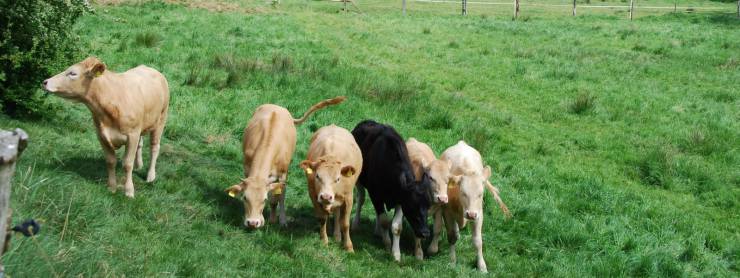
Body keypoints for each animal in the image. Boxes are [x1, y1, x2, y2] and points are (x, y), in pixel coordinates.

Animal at [43, 56, 171, 198]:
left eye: (72, 73)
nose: (45, 82)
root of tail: (151, 69)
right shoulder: (101, 135)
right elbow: (110, 161)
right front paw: (112, 187)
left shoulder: (132, 135)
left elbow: (127, 163)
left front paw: (129, 191)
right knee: (141, 143)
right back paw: (139, 165)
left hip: (161, 119)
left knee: (154, 147)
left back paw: (150, 176)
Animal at [224, 96, 346, 229]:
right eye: (245, 198)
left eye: (264, 200)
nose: (252, 223)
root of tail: (278, 107)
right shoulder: (247, 170)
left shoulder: (282, 174)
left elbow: (277, 197)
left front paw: (275, 220)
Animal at [298, 125, 362, 253]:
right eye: (317, 176)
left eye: (338, 179)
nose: (326, 197)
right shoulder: (313, 195)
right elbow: (322, 218)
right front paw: (324, 241)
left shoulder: (348, 198)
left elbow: (345, 224)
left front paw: (348, 246)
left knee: (337, 214)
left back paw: (337, 236)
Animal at [348, 120, 430, 262]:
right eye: (413, 205)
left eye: (428, 206)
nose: (425, 232)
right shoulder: (376, 195)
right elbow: (385, 221)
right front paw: (387, 244)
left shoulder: (400, 200)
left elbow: (397, 226)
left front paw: (396, 254)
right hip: (358, 179)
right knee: (361, 199)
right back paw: (356, 224)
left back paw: (377, 231)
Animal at [430, 141, 512, 274]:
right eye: (463, 193)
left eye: (480, 194)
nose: (471, 214)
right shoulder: (447, 212)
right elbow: (451, 236)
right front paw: (452, 261)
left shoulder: (479, 215)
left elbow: (478, 241)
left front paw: (482, 266)